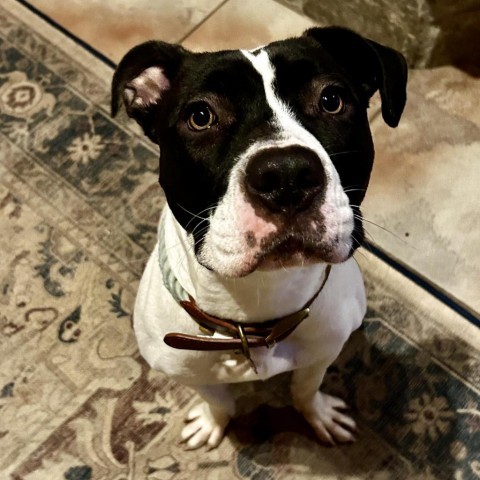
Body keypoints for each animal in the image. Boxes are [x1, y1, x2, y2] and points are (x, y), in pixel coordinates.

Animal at [111, 26, 404, 452]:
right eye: (200, 116)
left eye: (331, 100)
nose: (286, 174)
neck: (258, 301)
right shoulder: (186, 370)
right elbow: (216, 397)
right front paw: (213, 421)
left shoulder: (323, 352)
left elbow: (305, 388)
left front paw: (319, 415)